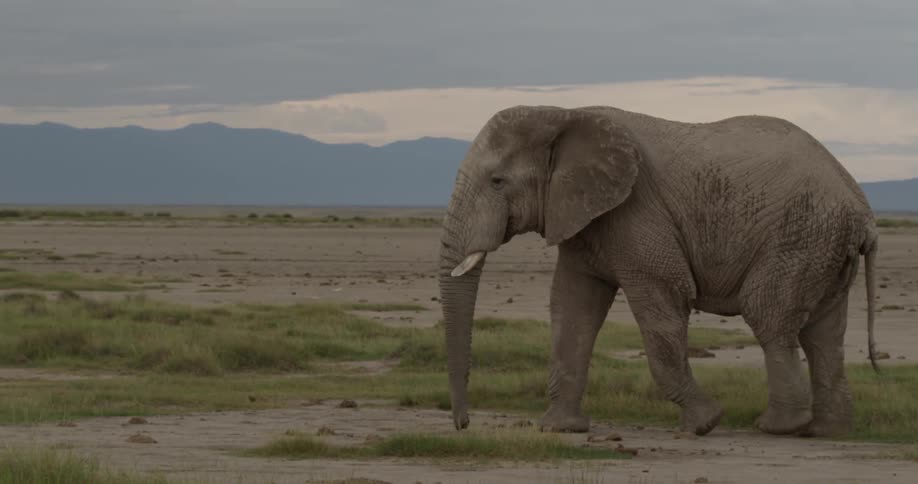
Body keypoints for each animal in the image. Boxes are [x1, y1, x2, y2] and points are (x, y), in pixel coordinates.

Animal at [438, 105, 879, 437]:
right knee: (824, 333)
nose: (463, 424)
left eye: (497, 181)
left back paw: (779, 427)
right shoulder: (584, 218)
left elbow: (663, 301)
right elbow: (572, 306)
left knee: (769, 317)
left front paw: (704, 424)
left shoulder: (637, 212)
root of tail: (860, 207)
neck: (564, 114)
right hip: (824, 245)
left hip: (800, 234)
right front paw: (560, 429)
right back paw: (827, 431)